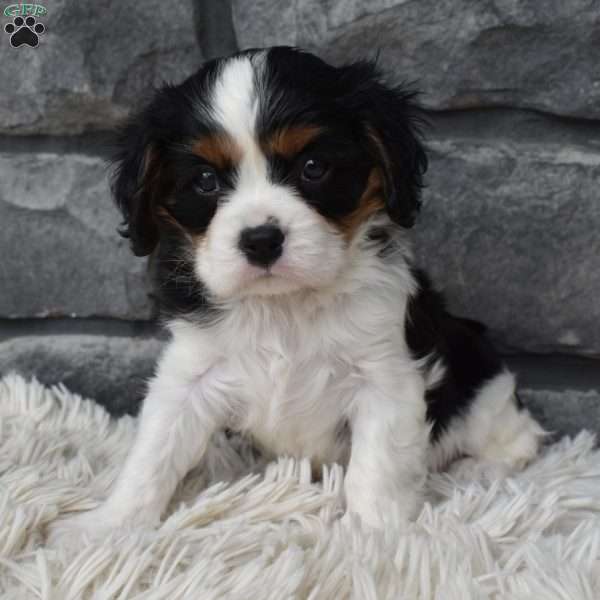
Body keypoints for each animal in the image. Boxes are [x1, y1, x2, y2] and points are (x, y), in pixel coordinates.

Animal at [50, 44, 544, 536]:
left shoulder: (385, 379)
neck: (283, 304)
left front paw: (373, 533)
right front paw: (109, 525)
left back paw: (479, 470)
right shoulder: (191, 374)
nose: (261, 240)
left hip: (481, 384)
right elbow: (153, 452)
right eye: (206, 181)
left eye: (313, 168)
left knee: (520, 438)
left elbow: (377, 468)